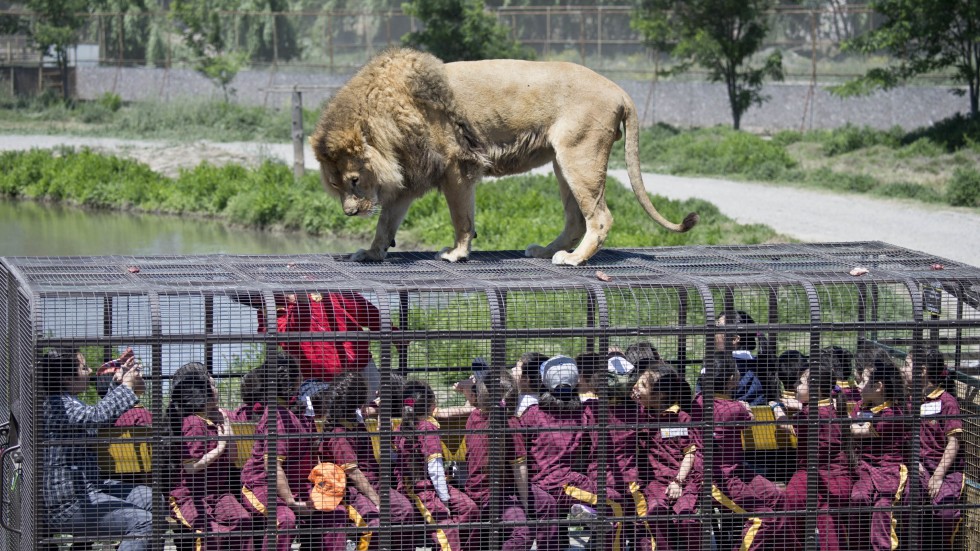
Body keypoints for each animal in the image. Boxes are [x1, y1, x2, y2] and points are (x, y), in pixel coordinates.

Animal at [310, 48, 698, 266]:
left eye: (354, 180)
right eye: (335, 185)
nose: (349, 212)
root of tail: (619, 89)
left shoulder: (457, 167)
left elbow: (461, 218)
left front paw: (456, 253)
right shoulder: (411, 176)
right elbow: (385, 223)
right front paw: (370, 253)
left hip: (580, 156)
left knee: (600, 217)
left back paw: (573, 260)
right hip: (562, 163)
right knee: (576, 220)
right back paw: (545, 251)